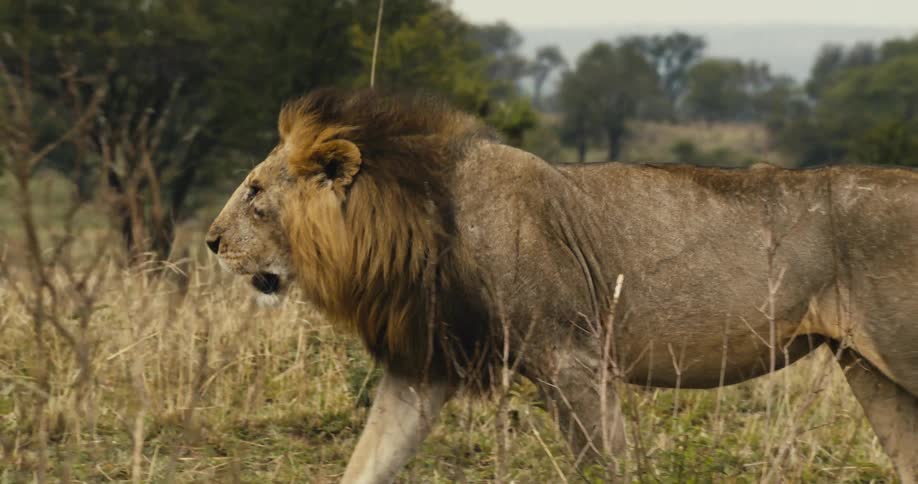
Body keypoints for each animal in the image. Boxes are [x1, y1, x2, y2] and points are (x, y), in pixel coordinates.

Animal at [207, 88, 918, 483]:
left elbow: (606, 467)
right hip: (869, 370)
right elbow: (369, 459)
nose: (211, 242)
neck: (414, 222)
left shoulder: (574, 359)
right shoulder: (424, 366)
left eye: (255, 192)